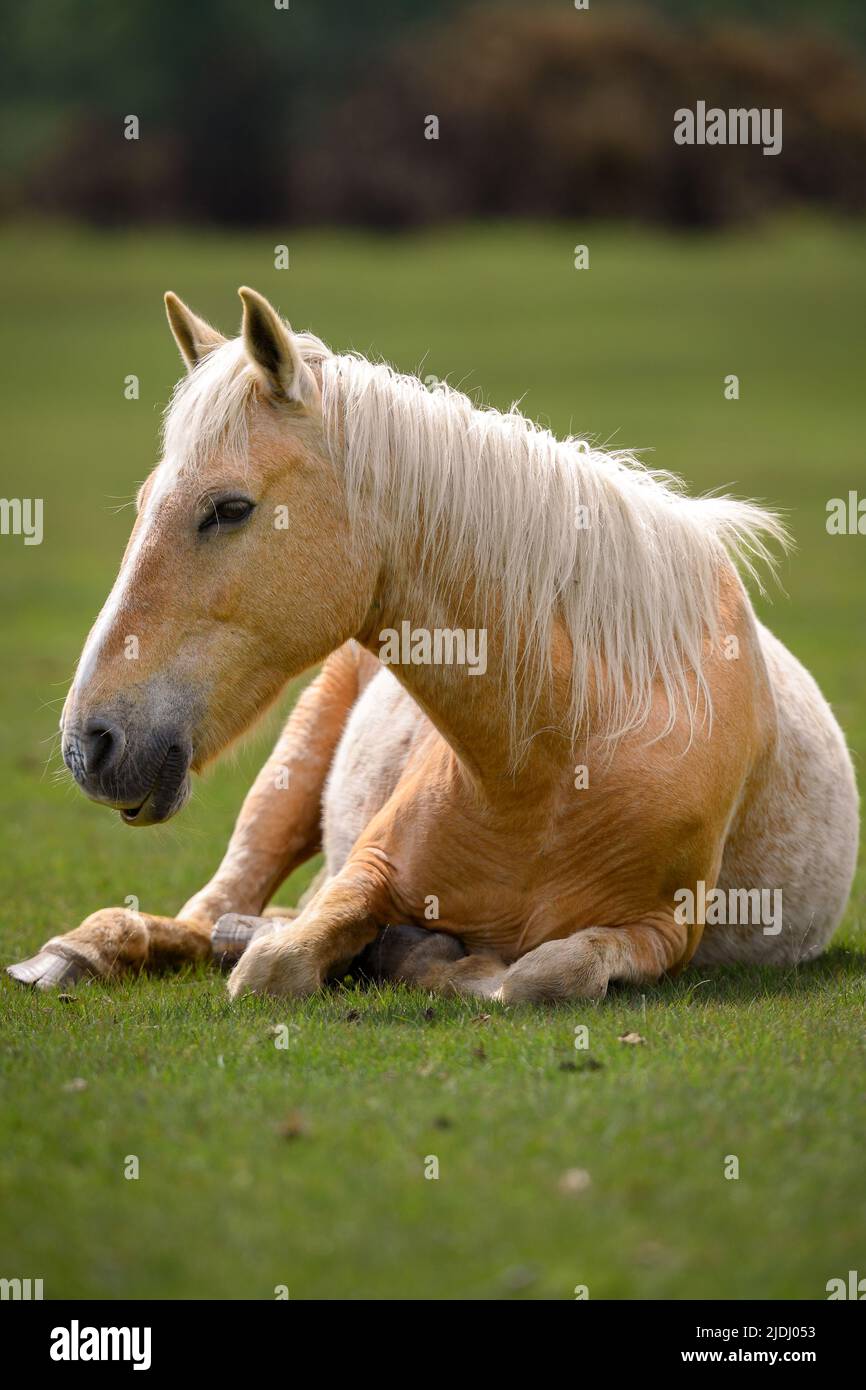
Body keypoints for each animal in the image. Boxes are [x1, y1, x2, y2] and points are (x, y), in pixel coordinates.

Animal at [8, 290, 861, 1000]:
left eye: (229, 508)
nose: (90, 741)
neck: (553, 764)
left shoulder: (660, 933)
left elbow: (540, 976)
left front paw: (422, 956)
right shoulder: (366, 873)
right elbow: (276, 966)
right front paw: (388, 951)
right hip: (288, 778)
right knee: (203, 912)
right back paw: (79, 953)